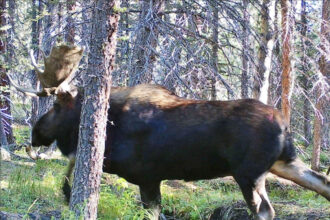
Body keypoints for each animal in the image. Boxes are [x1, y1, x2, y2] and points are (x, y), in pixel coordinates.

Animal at [10, 44, 330, 220]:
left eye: (55, 106)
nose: (35, 133)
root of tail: (284, 124)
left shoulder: (146, 176)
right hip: (284, 161)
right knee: (321, 182)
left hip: (249, 173)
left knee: (264, 211)